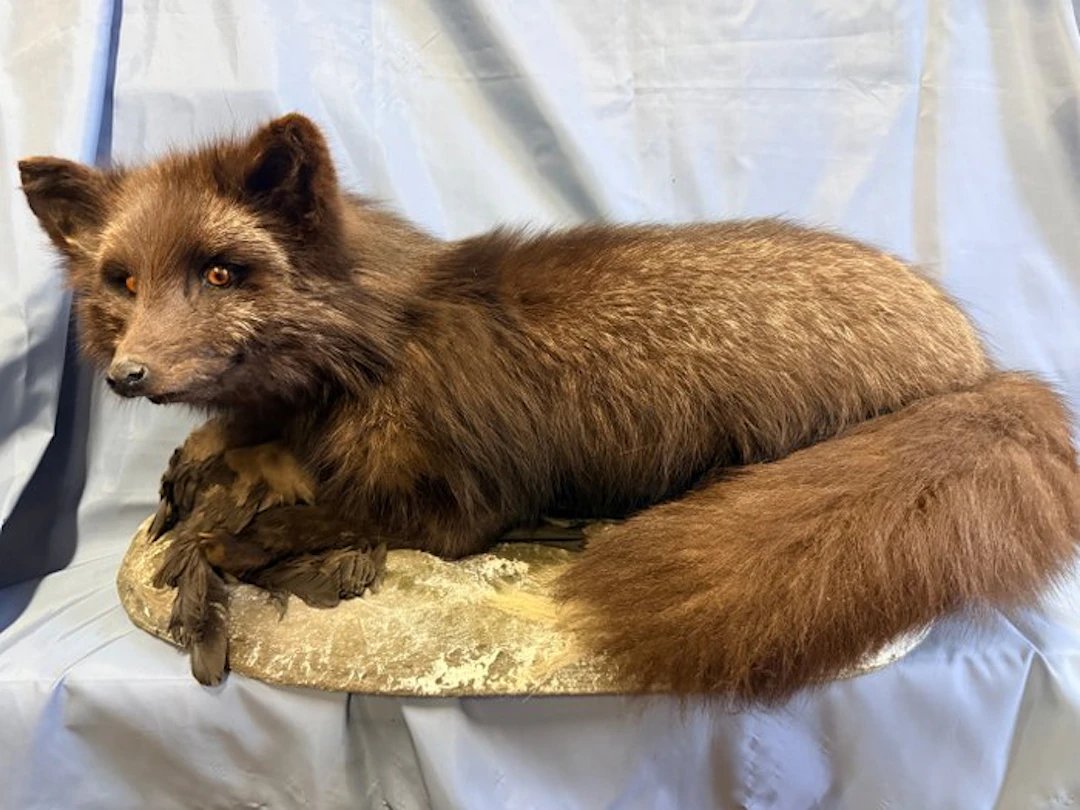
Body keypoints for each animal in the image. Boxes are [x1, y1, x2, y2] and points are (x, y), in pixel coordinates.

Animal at [18, 113, 1080, 702]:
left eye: (220, 271)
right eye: (121, 281)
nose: (130, 375)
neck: (371, 351)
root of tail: (981, 368)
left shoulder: (463, 507)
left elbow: (331, 516)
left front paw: (236, 541)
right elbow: (236, 458)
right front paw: (206, 491)